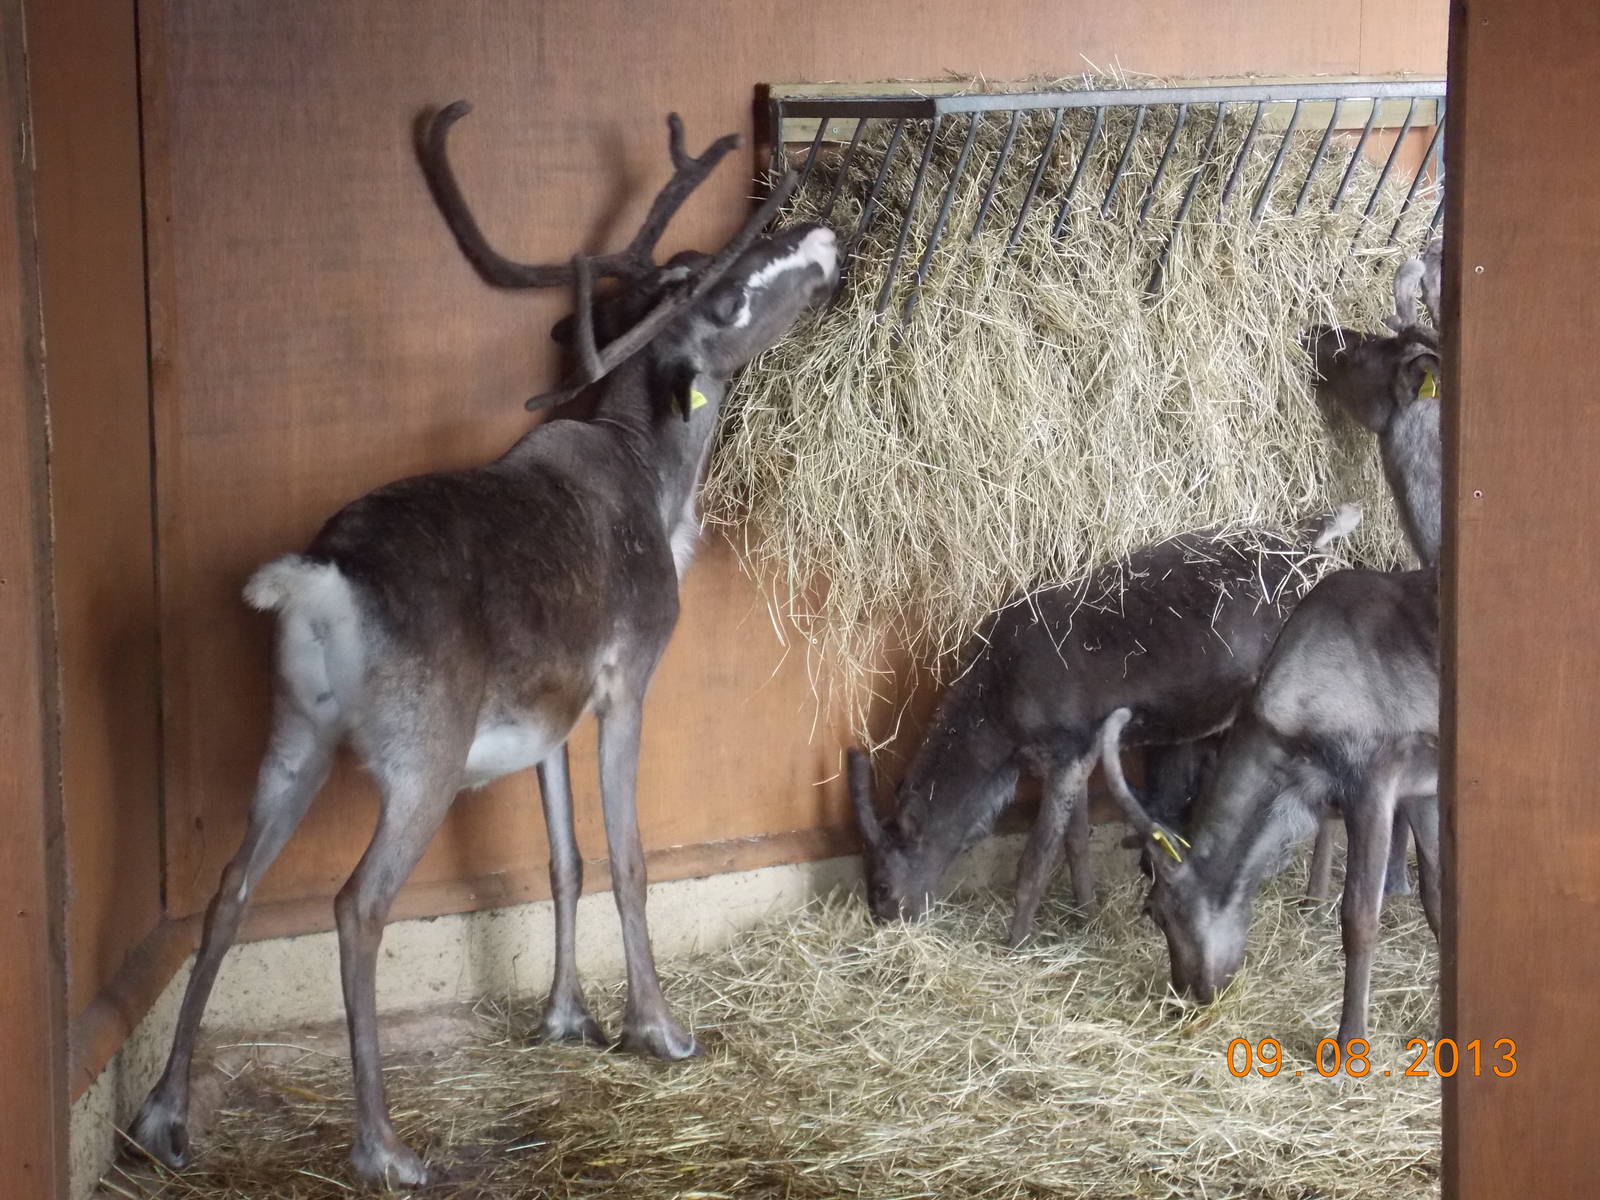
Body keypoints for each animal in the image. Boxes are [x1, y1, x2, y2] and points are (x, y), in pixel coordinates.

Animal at [128, 101, 839, 1188]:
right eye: (716, 297)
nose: (821, 235)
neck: (657, 485)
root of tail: (319, 584)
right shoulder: (627, 678)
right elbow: (629, 857)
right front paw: (659, 1030)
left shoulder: (546, 718)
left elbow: (565, 859)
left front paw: (563, 1017)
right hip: (423, 755)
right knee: (355, 906)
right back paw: (384, 1148)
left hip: (293, 733)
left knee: (230, 887)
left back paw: (166, 1114)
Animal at [849, 503, 1362, 949]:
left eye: (882, 885)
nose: (884, 918)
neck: (998, 723)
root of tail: (1314, 542)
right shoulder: (1081, 748)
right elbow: (1076, 840)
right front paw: (1085, 912)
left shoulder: (1067, 746)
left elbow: (1037, 856)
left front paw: (1015, 941)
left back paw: (1316, 899)